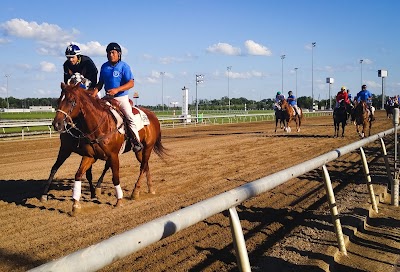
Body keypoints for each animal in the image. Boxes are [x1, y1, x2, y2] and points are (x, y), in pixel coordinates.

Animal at [52, 83, 166, 215]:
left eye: (71, 101)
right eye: (58, 100)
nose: (56, 124)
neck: (100, 125)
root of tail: (153, 116)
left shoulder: (113, 156)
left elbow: (115, 177)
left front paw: (119, 200)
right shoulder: (90, 156)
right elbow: (78, 174)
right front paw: (75, 204)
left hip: (148, 147)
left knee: (142, 166)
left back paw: (135, 192)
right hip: (139, 151)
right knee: (145, 165)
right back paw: (150, 188)